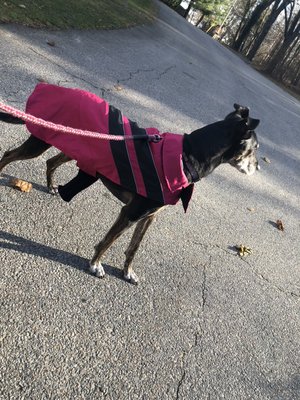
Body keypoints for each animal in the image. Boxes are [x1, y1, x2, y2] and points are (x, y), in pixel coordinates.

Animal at [0, 95, 258, 284]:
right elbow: (108, 241)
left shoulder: (149, 216)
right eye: (255, 148)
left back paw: (52, 186)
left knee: (50, 162)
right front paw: (95, 264)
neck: (188, 155)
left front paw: (127, 272)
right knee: (9, 155)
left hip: (75, 148)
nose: (257, 167)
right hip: (41, 142)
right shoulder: (131, 213)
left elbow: (134, 247)